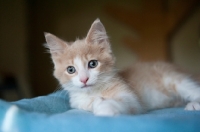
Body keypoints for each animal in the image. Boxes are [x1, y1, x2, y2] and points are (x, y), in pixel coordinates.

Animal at [45, 18, 200, 115]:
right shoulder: (80, 103)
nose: (84, 79)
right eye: (71, 70)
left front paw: (105, 107)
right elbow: (90, 104)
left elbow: (122, 103)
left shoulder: (131, 98)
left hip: (174, 79)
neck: (94, 92)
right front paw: (97, 103)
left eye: (93, 64)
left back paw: (194, 104)